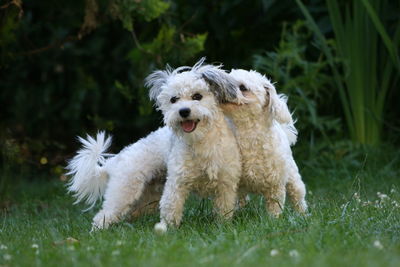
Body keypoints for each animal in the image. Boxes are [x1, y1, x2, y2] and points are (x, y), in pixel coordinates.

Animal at [145, 59, 242, 234]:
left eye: (197, 96)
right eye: (173, 99)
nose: (183, 111)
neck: (201, 141)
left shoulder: (226, 182)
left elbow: (224, 209)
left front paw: (223, 226)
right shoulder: (177, 181)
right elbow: (171, 207)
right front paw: (169, 229)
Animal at [222, 69, 306, 218]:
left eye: (243, 87)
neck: (249, 134)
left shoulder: (276, 185)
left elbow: (275, 207)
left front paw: (274, 220)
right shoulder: (235, 183)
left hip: (293, 177)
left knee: (298, 197)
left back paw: (303, 215)